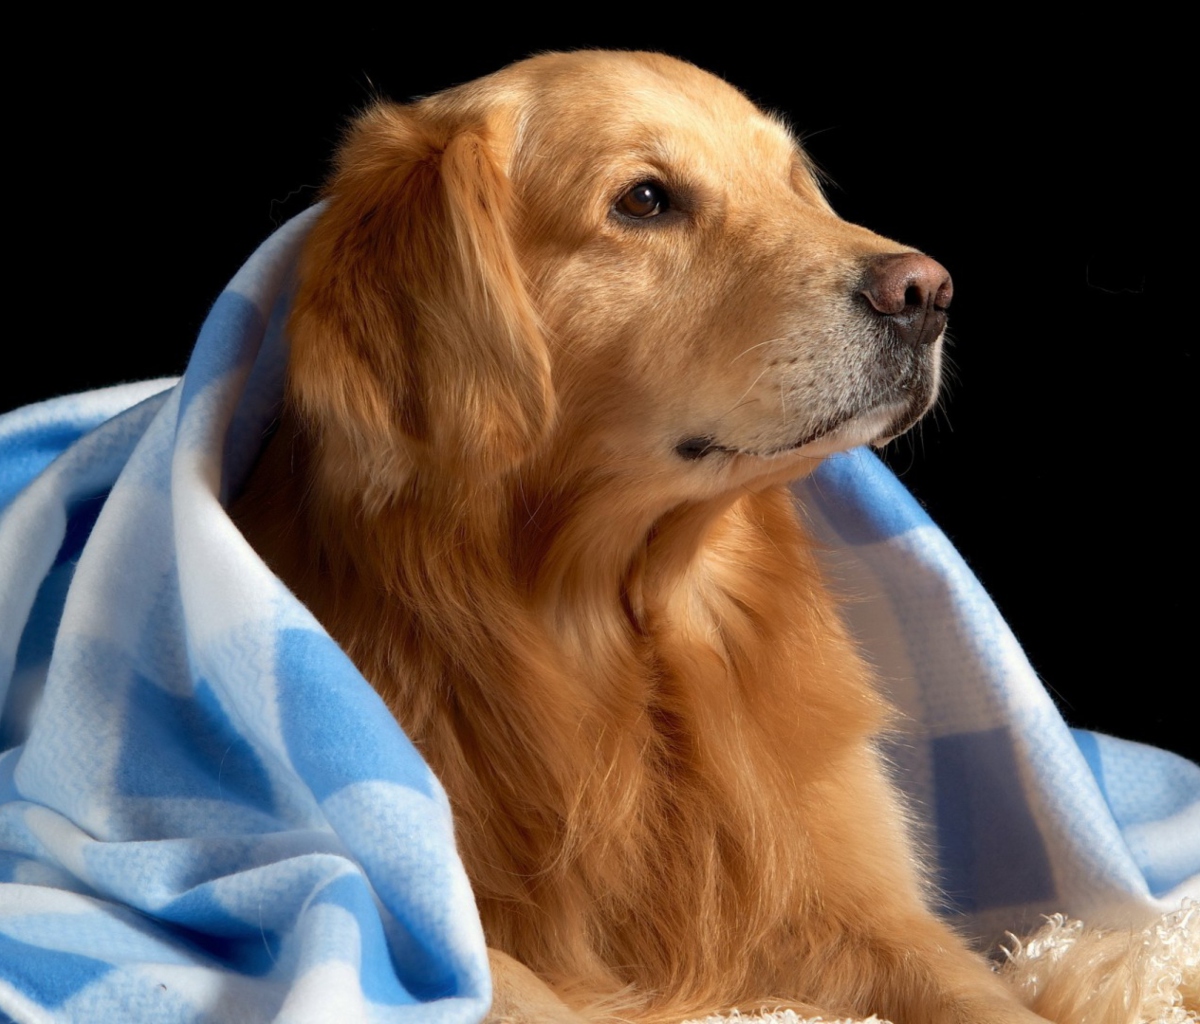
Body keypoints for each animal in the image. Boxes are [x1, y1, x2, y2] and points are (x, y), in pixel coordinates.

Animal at [234, 49, 1051, 1022]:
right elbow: (513, 988)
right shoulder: (414, 921)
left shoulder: (859, 904)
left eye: (793, 185)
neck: (619, 643)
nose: (925, 291)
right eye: (646, 200)